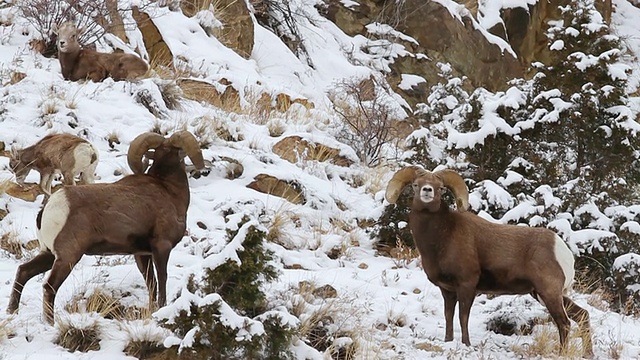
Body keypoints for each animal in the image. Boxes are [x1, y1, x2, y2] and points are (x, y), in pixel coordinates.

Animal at [382, 167, 592, 358]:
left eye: (440, 188)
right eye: (416, 185)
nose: (427, 191)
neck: (441, 237)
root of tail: (563, 250)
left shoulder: (467, 285)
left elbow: (463, 317)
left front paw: (466, 344)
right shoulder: (447, 290)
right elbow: (449, 316)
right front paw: (448, 341)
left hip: (549, 293)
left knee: (564, 323)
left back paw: (562, 353)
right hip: (543, 294)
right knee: (582, 316)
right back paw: (588, 354)